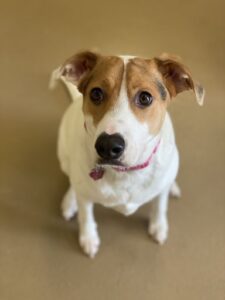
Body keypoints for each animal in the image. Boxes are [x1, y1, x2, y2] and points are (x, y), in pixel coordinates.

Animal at [50, 51, 205, 258]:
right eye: (96, 93)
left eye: (145, 98)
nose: (107, 145)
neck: (126, 173)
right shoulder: (85, 198)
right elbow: (86, 215)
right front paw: (88, 237)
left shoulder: (160, 192)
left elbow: (160, 205)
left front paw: (159, 226)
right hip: (64, 154)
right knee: (72, 181)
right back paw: (69, 200)